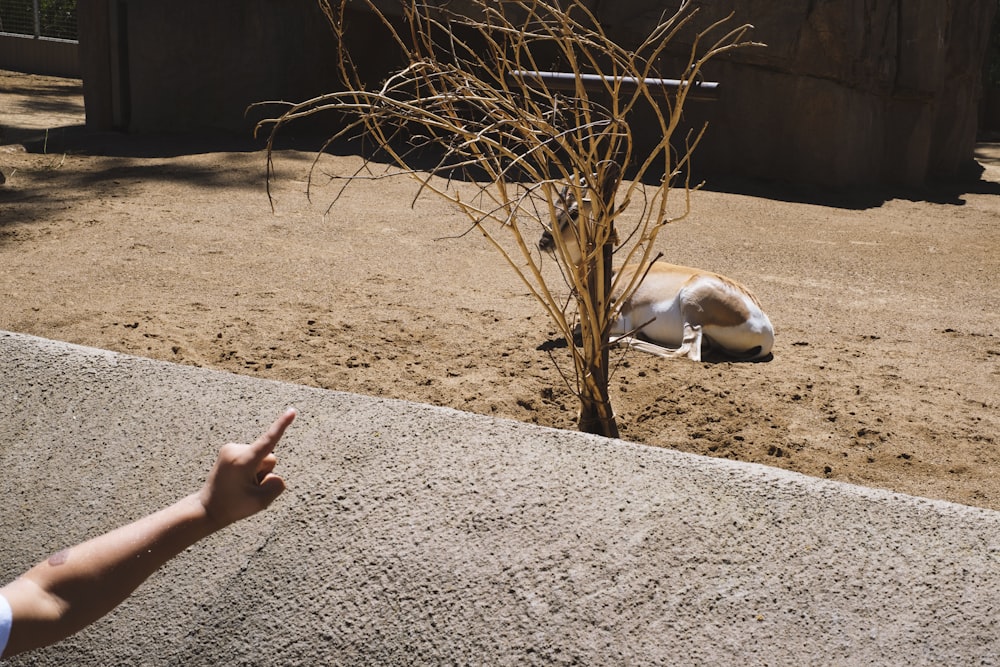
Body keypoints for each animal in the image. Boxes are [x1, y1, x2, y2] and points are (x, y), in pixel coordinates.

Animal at [540, 180, 772, 362]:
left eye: (573, 212)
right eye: (553, 208)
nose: (543, 242)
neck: (611, 274)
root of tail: (767, 331)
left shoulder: (617, 319)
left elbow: (579, 329)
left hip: (692, 308)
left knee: (686, 353)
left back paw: (627, 339)